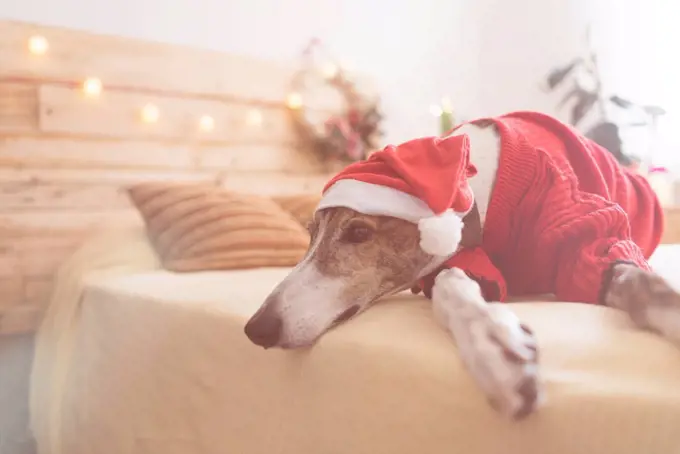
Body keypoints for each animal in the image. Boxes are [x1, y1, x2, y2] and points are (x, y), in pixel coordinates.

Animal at [242, 111, 676, 420]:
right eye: (309, 234)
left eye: (359, 232)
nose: (255, 328)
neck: (475, 183)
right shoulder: (456, 262)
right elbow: (453, 283)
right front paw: (495, 344)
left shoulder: (584, 231)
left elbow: (630, 274)